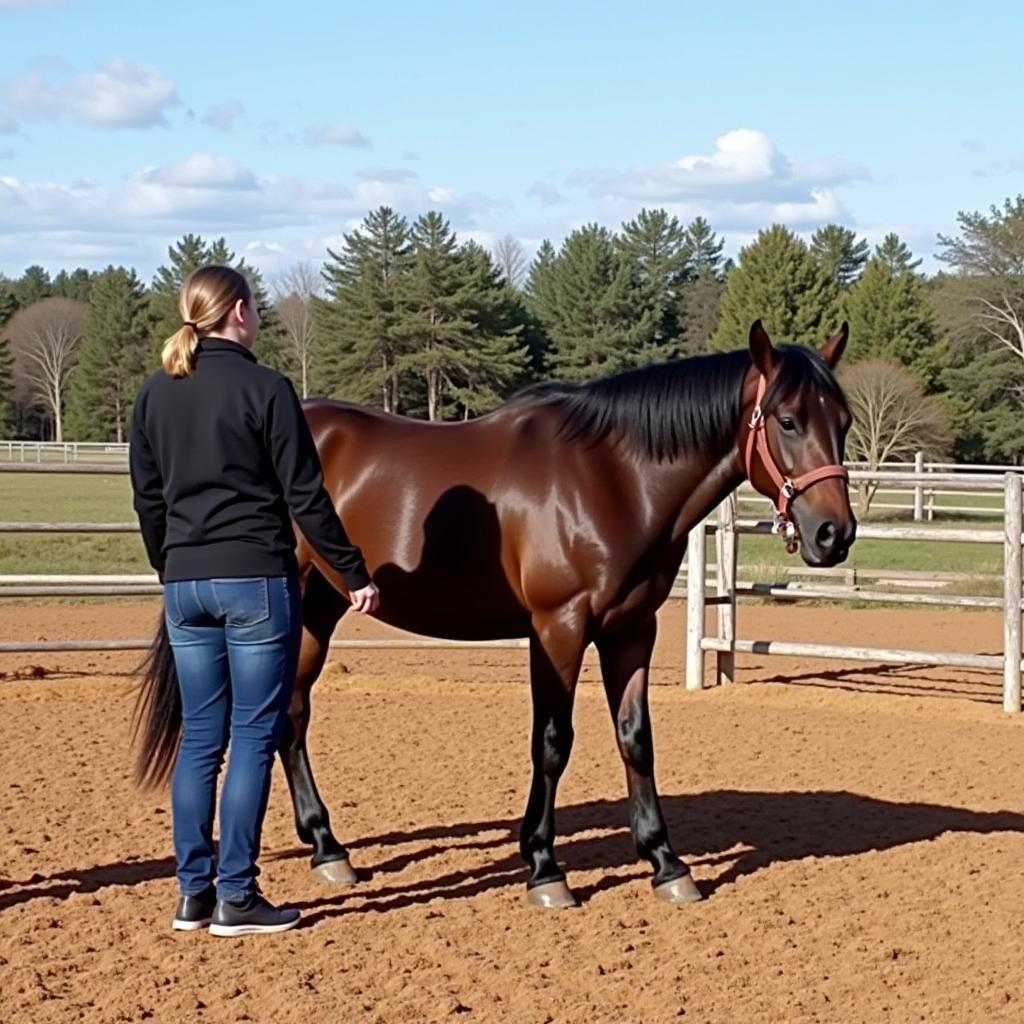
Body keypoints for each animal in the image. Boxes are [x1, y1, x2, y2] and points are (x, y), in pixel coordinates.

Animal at [136, 317, 856, 905]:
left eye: (843, 421)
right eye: (787, 419)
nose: (834, 535)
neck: (610, 477)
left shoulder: (632, 628)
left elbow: (636, 738)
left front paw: (666, 863)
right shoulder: (558, 628)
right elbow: (553, 741)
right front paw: (543, 868)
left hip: (317, 609)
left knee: (290, 715)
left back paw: (328, 849)